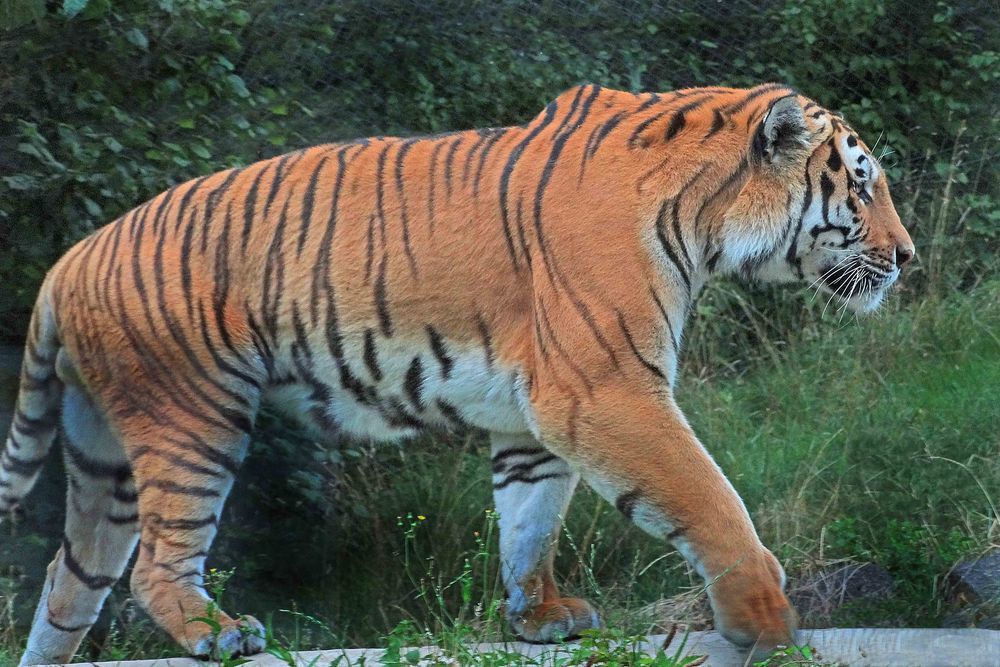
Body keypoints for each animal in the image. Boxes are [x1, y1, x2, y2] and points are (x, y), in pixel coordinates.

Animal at [1, 81, 916, 664]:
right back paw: (215, 631)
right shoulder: (608, 390)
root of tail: (67, 261)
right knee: (157, 560)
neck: (705, 223)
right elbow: (709, 499)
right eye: (862, 185)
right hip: (192, 416)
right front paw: (768, 620)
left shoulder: (538, 415)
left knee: (68, 578)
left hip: (108, 457)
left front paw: (538, 615)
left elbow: (529, 520)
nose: (907, 257)